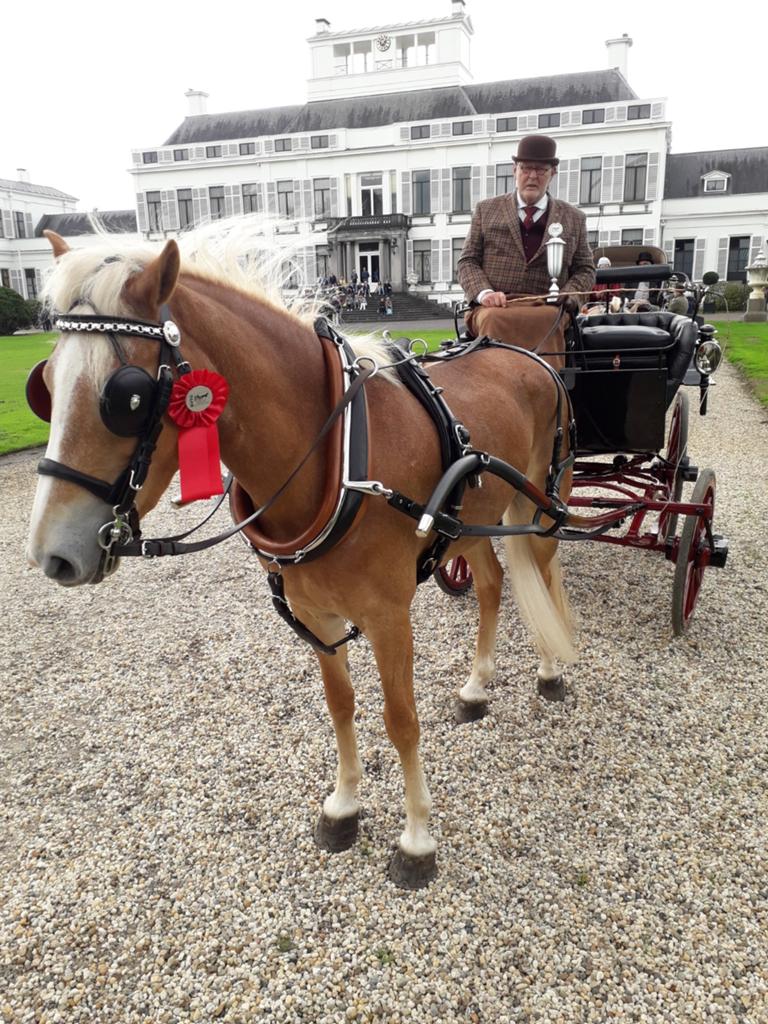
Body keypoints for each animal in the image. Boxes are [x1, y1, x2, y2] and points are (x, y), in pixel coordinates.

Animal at [26, 225, 578, 888]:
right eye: (45, 386)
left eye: (126, 399)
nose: (51, 554)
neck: (337, 455)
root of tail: (527, 354)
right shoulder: (315, 612)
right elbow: (340, 707)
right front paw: (344, 805)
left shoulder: (390, 616)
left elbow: (400, 718)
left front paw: (417, 838)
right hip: (470, 518)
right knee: (494, 582)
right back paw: (476, 686)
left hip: (540, 502)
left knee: (541, 573)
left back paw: (551, 668)